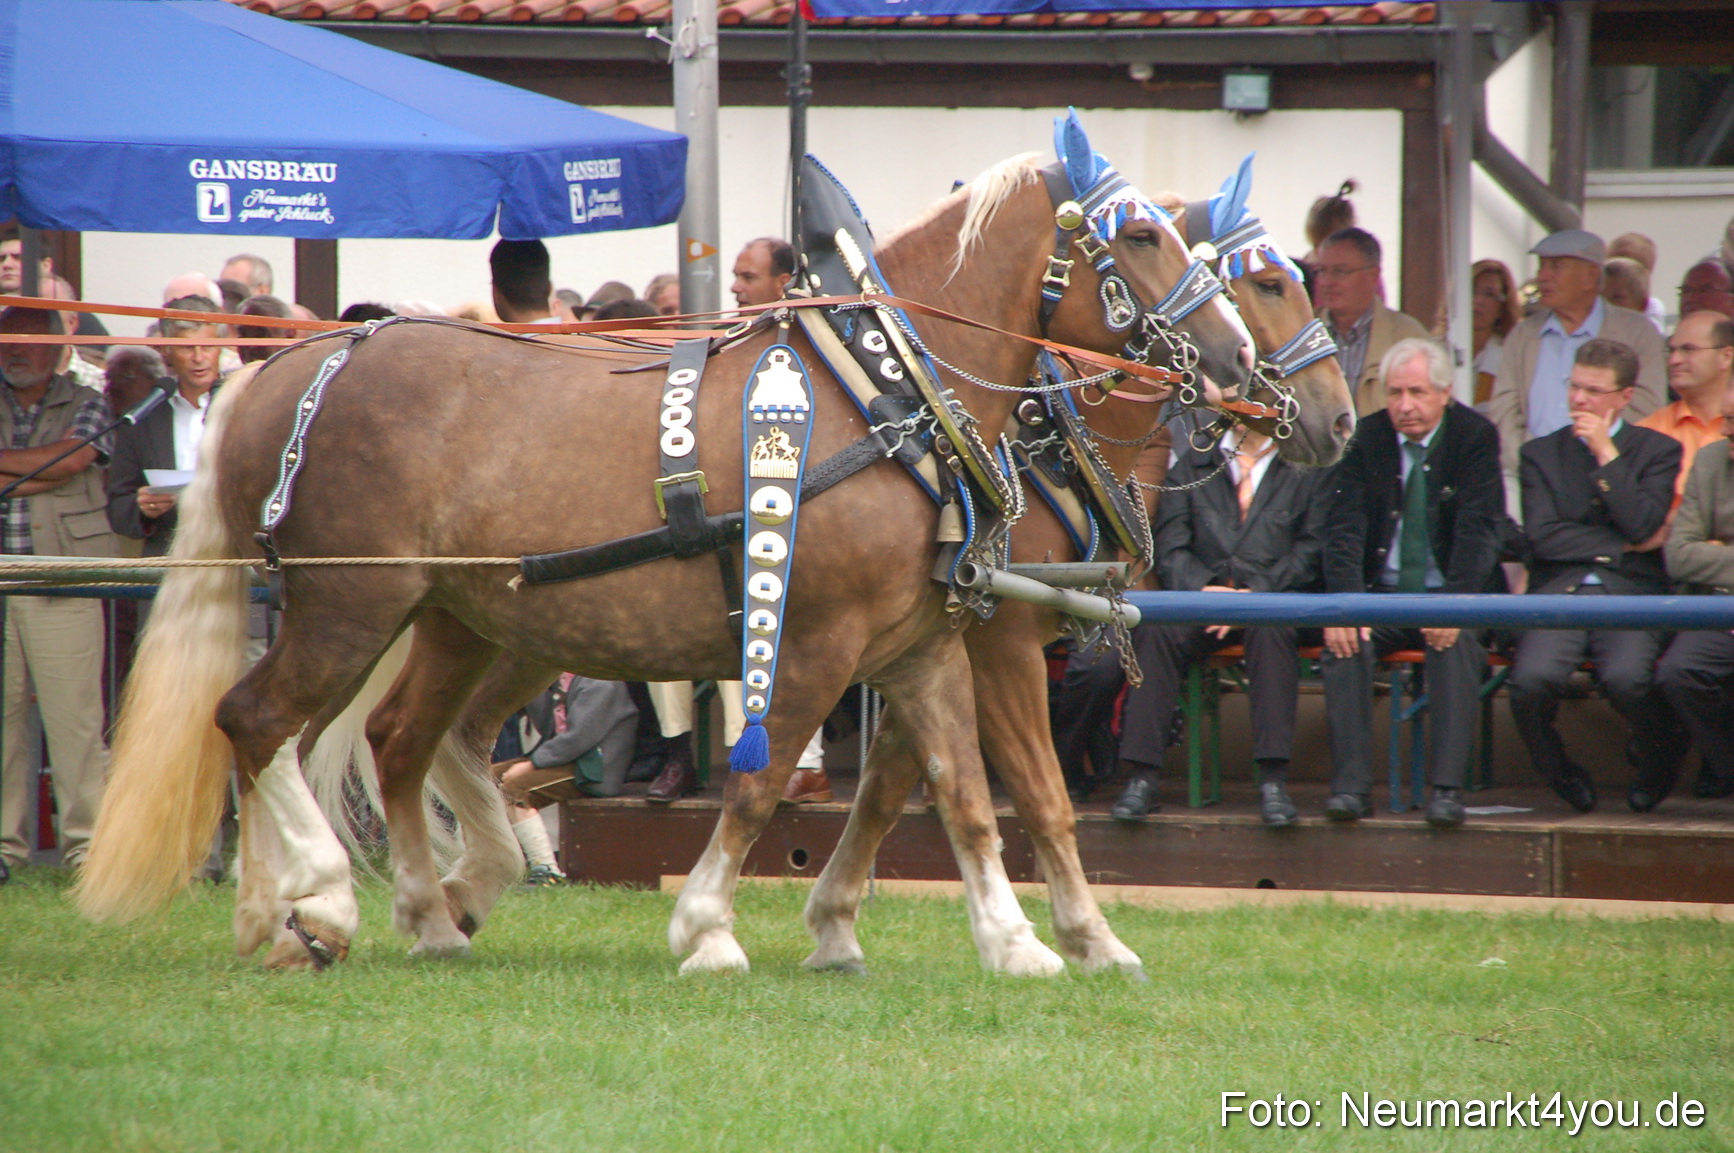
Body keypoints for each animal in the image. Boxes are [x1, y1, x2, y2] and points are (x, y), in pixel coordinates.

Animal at [74, 118, 1261, 976]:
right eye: (1141, 235)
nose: (1240, 363)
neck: (886, 392)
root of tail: (287, 366)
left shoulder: (922, 649)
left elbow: (970, 795)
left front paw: (1019, 942)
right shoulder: (824, 640)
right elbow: (761, 781)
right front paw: (707, 928)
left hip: (453, 615)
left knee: (390, 739)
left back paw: (375, 910)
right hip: (349, 606)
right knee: (259, 721)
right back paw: (317, 899)